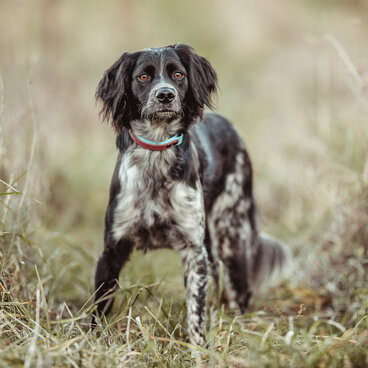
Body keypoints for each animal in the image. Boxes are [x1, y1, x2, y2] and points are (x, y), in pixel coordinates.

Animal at [92, 44, 290, 346]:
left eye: (177, 74)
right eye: (143, 77)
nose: (165, 95)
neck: (156, 154)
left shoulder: (193, 251)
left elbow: (195, 310)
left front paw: (199, 348)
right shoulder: (113, 246)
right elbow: (99, 304)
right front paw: (88, 339)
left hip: (231, 236)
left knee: (240, 292)